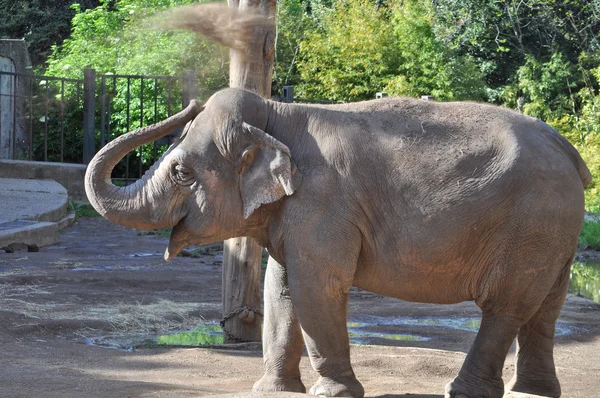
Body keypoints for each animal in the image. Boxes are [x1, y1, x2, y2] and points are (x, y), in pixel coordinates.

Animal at [84, 88, 592, 398]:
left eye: (182, 173)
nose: (190, 102)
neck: (276, 115)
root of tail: (570, 151)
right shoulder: (296, 211)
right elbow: (281, 288)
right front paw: (273, 392)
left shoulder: (322, 202)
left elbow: (317, 287)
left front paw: (335, 393)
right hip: (555, 232)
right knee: (545, 307)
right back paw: (532, 393)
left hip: (532, 224)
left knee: (506, 305)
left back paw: (463, 391)